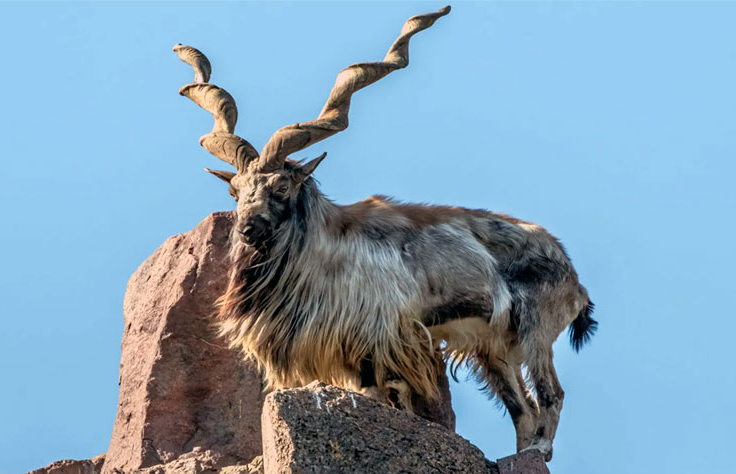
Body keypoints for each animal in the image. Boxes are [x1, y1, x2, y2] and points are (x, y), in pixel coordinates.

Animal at [175, 5, 596, 462]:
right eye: (235, 191)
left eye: (281, 187)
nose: (249, 229)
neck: (323, 252)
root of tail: (574, 278)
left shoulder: (376, 344)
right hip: (494, 350)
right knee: (523, 408)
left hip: (536, 331)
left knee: (551, 395)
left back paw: (539, 447)